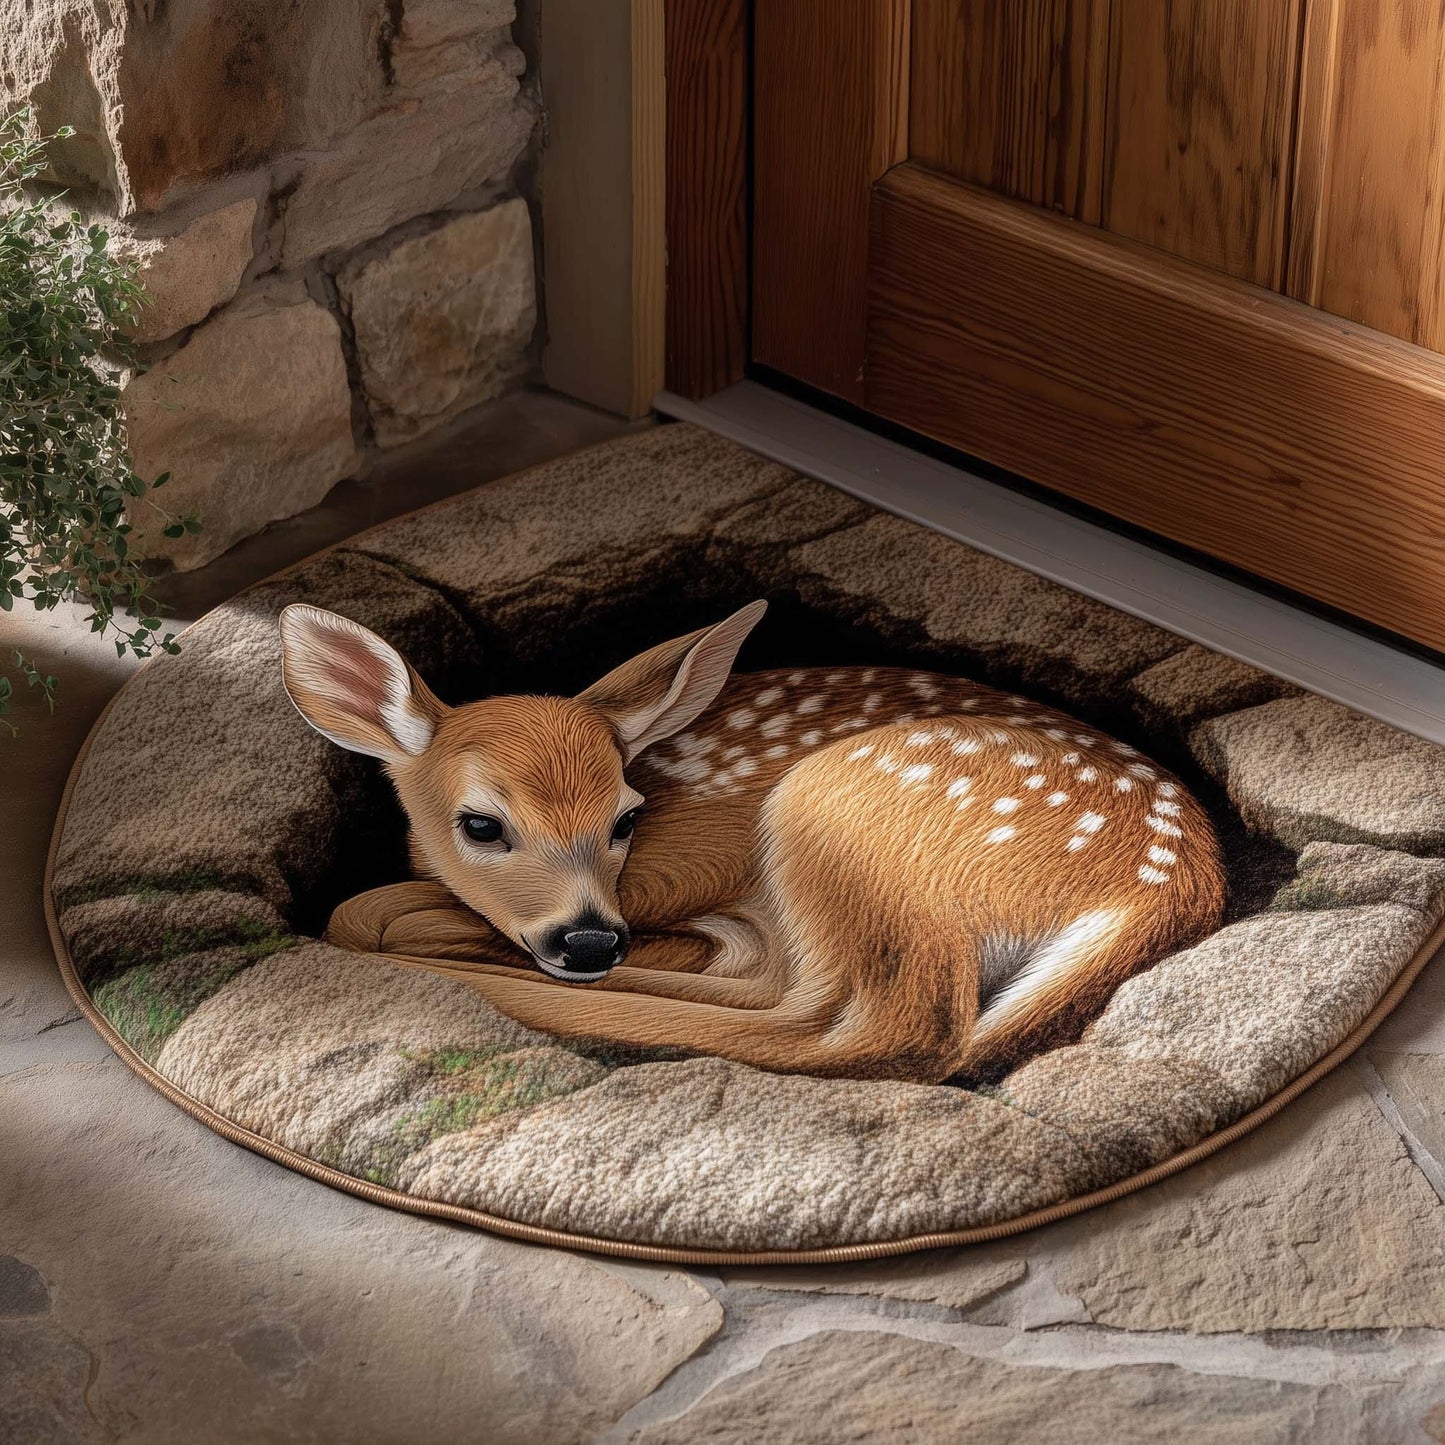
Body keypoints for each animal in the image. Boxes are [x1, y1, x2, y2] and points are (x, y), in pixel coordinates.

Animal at [277, 599, 1225, 1085]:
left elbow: (366, 908)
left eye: (625, 817)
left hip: (844, 809)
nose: (588, 940)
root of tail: (1166, 883)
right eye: (480, 823)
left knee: (880, 1027)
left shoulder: (686, 865)